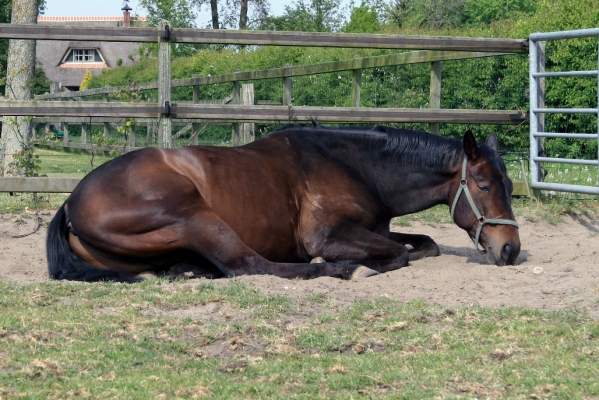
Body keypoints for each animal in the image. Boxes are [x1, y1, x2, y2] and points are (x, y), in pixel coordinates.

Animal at [45, 123, 520, 282]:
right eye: (482, 184)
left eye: (510, 184)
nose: (510, 250)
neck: (355, 166)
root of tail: (70, 204)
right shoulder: (327, 235)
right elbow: (396, 255)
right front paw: (357, 264)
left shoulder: (375, 227)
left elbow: (425, 243)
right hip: (193, 217)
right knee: (249, 265)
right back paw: (340, 270)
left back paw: (187, 269)